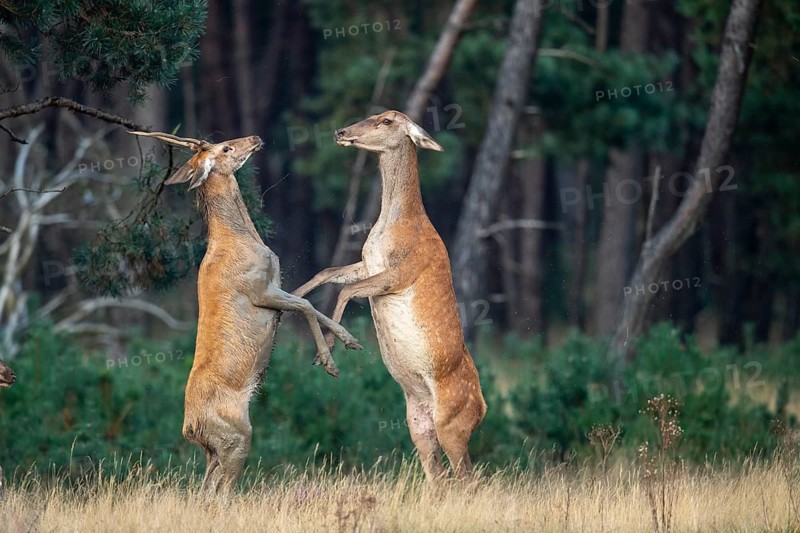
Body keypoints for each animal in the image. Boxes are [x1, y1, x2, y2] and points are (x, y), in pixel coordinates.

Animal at [128, 130, 363, 496]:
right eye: (226, 148)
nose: (253, 137)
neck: (242, 240)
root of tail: (190, 428)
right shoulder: (258, 290)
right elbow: (306, 305)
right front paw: (329, 362)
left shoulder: (275, 286)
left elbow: (308, 304)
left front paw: (349, 340)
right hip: (236, 437)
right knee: (222, 491)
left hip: (215, 450)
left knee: (206, 488)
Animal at [293, 110, 487, 482]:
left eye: (386, 121)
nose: (341, 132)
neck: (391, 226)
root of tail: (484, 408)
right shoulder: (369, 262)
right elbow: (327, 273)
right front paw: (290, 294)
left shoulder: (402, 271)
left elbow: (346, 289)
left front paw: (335, 350)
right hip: (418, 423)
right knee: (439, 476)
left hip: (453, 423)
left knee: (467, 477)